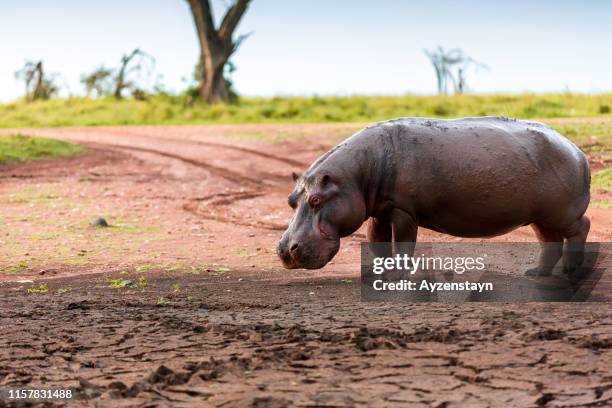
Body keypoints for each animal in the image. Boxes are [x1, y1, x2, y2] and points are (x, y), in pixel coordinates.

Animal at [278, 116, 588, 276]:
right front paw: (378, 273)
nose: (284, 251)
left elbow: (402, 245)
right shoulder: (380, 212)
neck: (355, 176)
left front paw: (398, 275)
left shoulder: (403, 212)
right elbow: (377, 242)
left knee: (580, 228)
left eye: (316, 200)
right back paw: (535, 273)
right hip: (539, 216)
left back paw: (572, 270)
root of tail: (576, 148)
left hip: (561, 213)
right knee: (549, 240)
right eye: (291, 200)